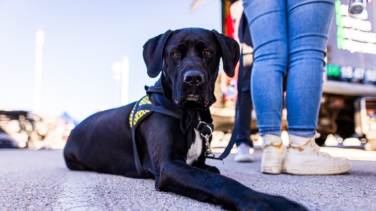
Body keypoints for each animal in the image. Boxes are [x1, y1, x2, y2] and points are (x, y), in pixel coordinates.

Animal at [64, 28, 306, 211]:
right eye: (174, 54)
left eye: (208, 52)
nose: (193, 79)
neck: (192, 113)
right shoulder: (169, 165)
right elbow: (217, 181)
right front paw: (265, 202)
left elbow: (209, 171)